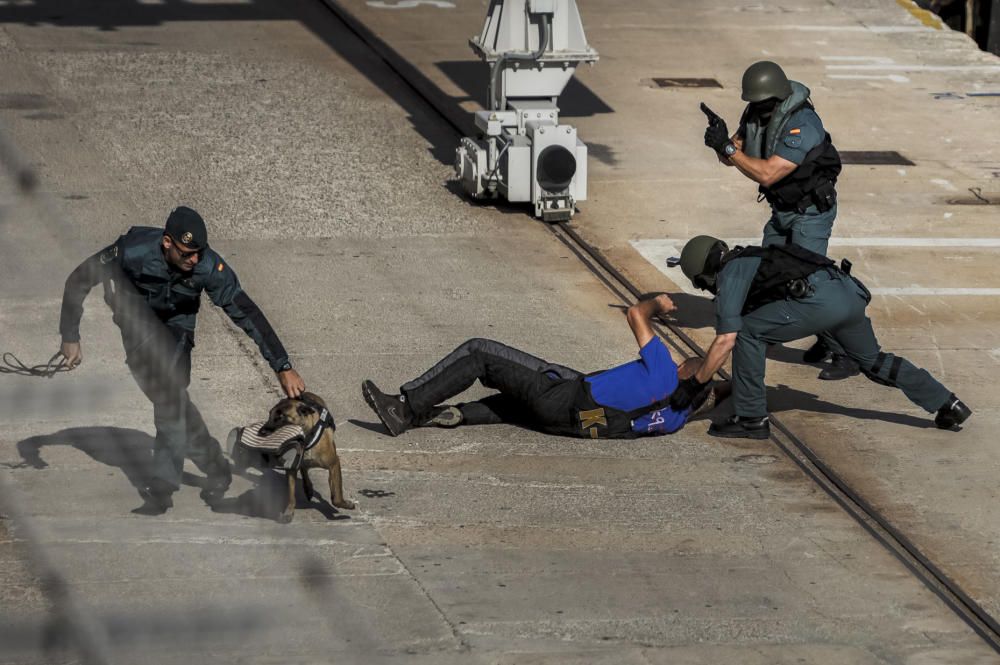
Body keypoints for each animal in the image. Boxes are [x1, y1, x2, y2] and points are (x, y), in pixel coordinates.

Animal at [258, 390, 356, 524]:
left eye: (281, 417)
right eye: (270, 415)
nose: (260, 432)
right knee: (304, 470)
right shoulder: (291, 470)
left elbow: (336, 496)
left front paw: (346, 504)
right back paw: (308, 487)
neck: (304, 440)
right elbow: (291, 495)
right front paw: (288, 512)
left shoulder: (334, 464)